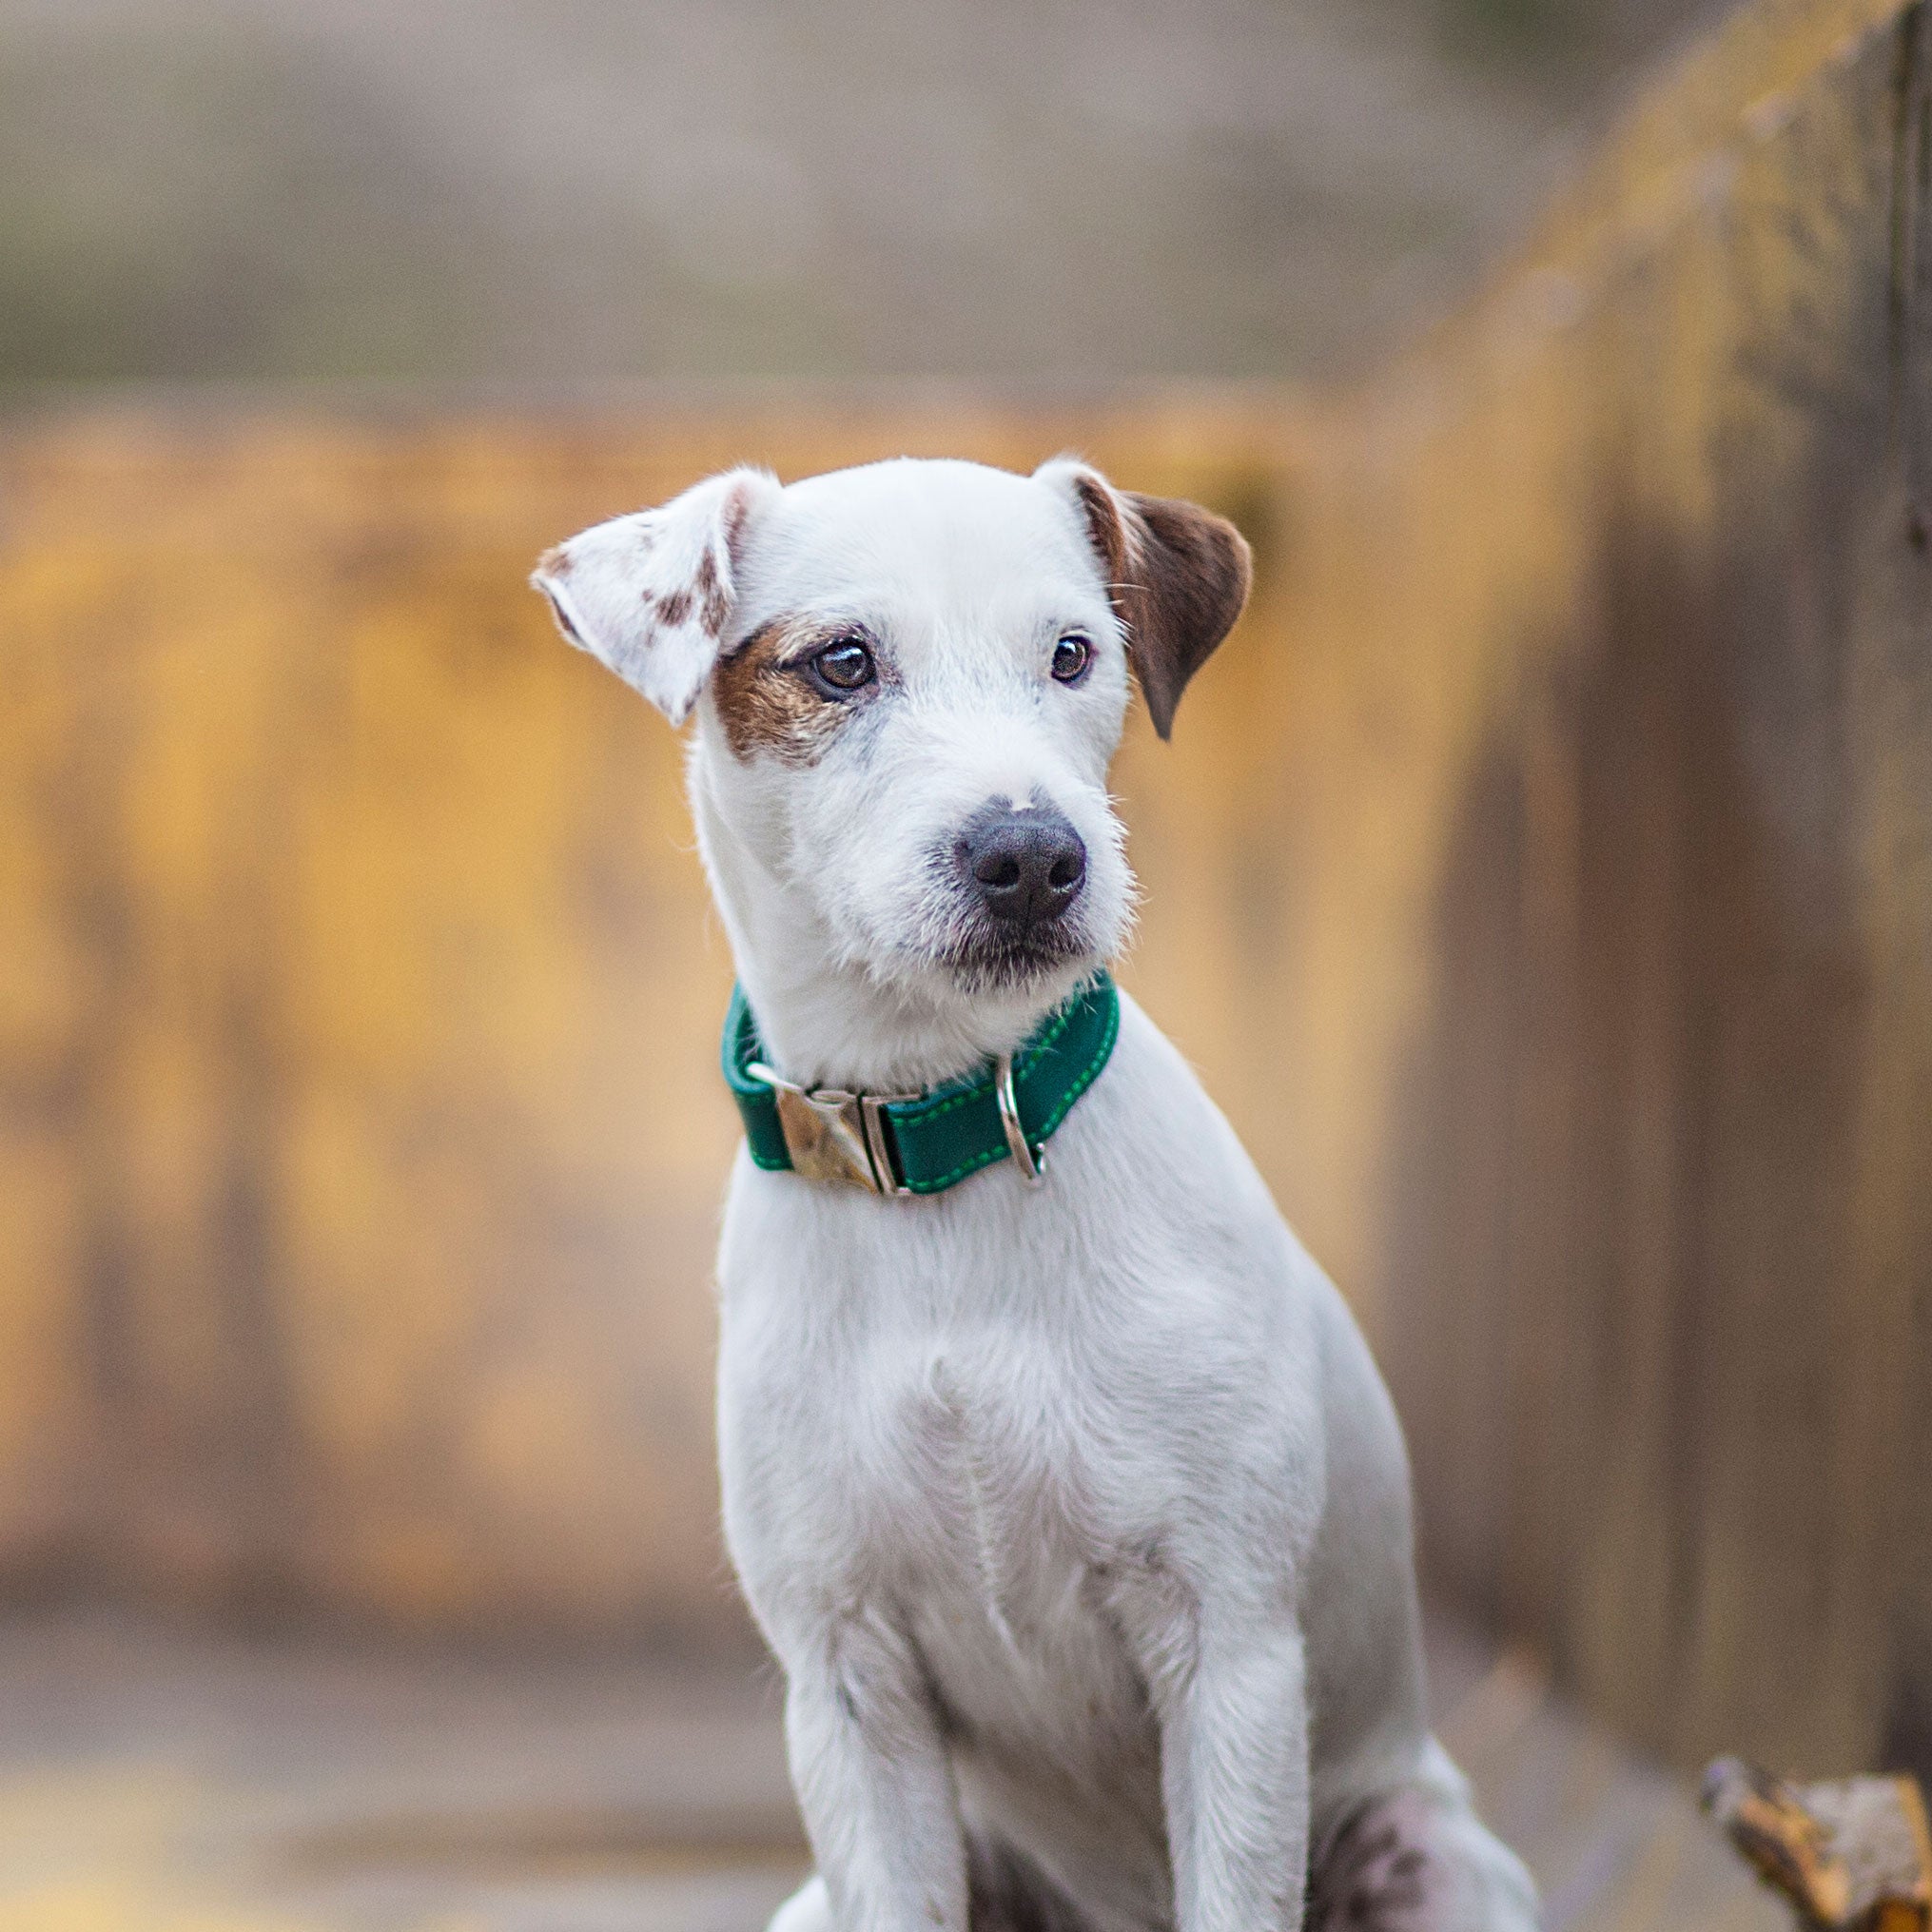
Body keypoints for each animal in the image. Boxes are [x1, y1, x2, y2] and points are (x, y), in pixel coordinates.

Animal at [533, 456, 1537, 1931]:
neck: (946, 1148)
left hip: (1431, 1854)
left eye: (1074, 653)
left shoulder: (1231, 1652)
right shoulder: (849, 1685)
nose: (1030, 856)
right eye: (841, 662)